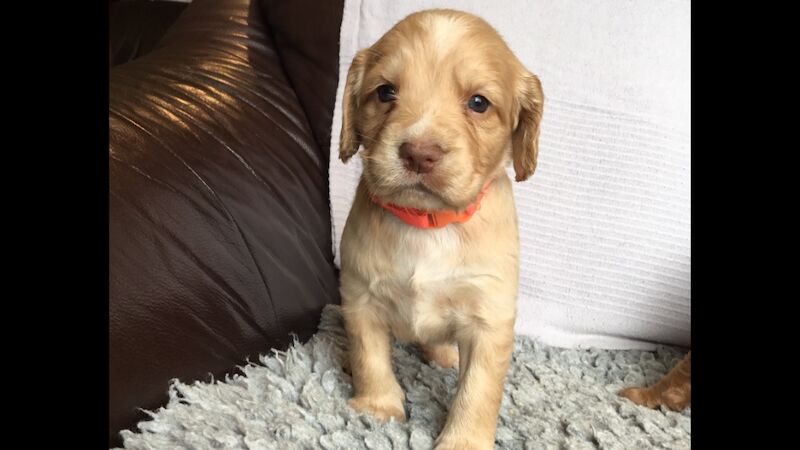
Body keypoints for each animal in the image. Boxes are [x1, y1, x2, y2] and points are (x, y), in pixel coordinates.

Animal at [338, 9, 544, 450]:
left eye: (479, 103)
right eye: (385, 92)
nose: (420, 153)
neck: (428, 224)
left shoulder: (489, 318)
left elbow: (478, 390)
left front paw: (463, 440)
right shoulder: (359, 296)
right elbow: (369, 357)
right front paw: (378, 408)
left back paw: (445, 356)